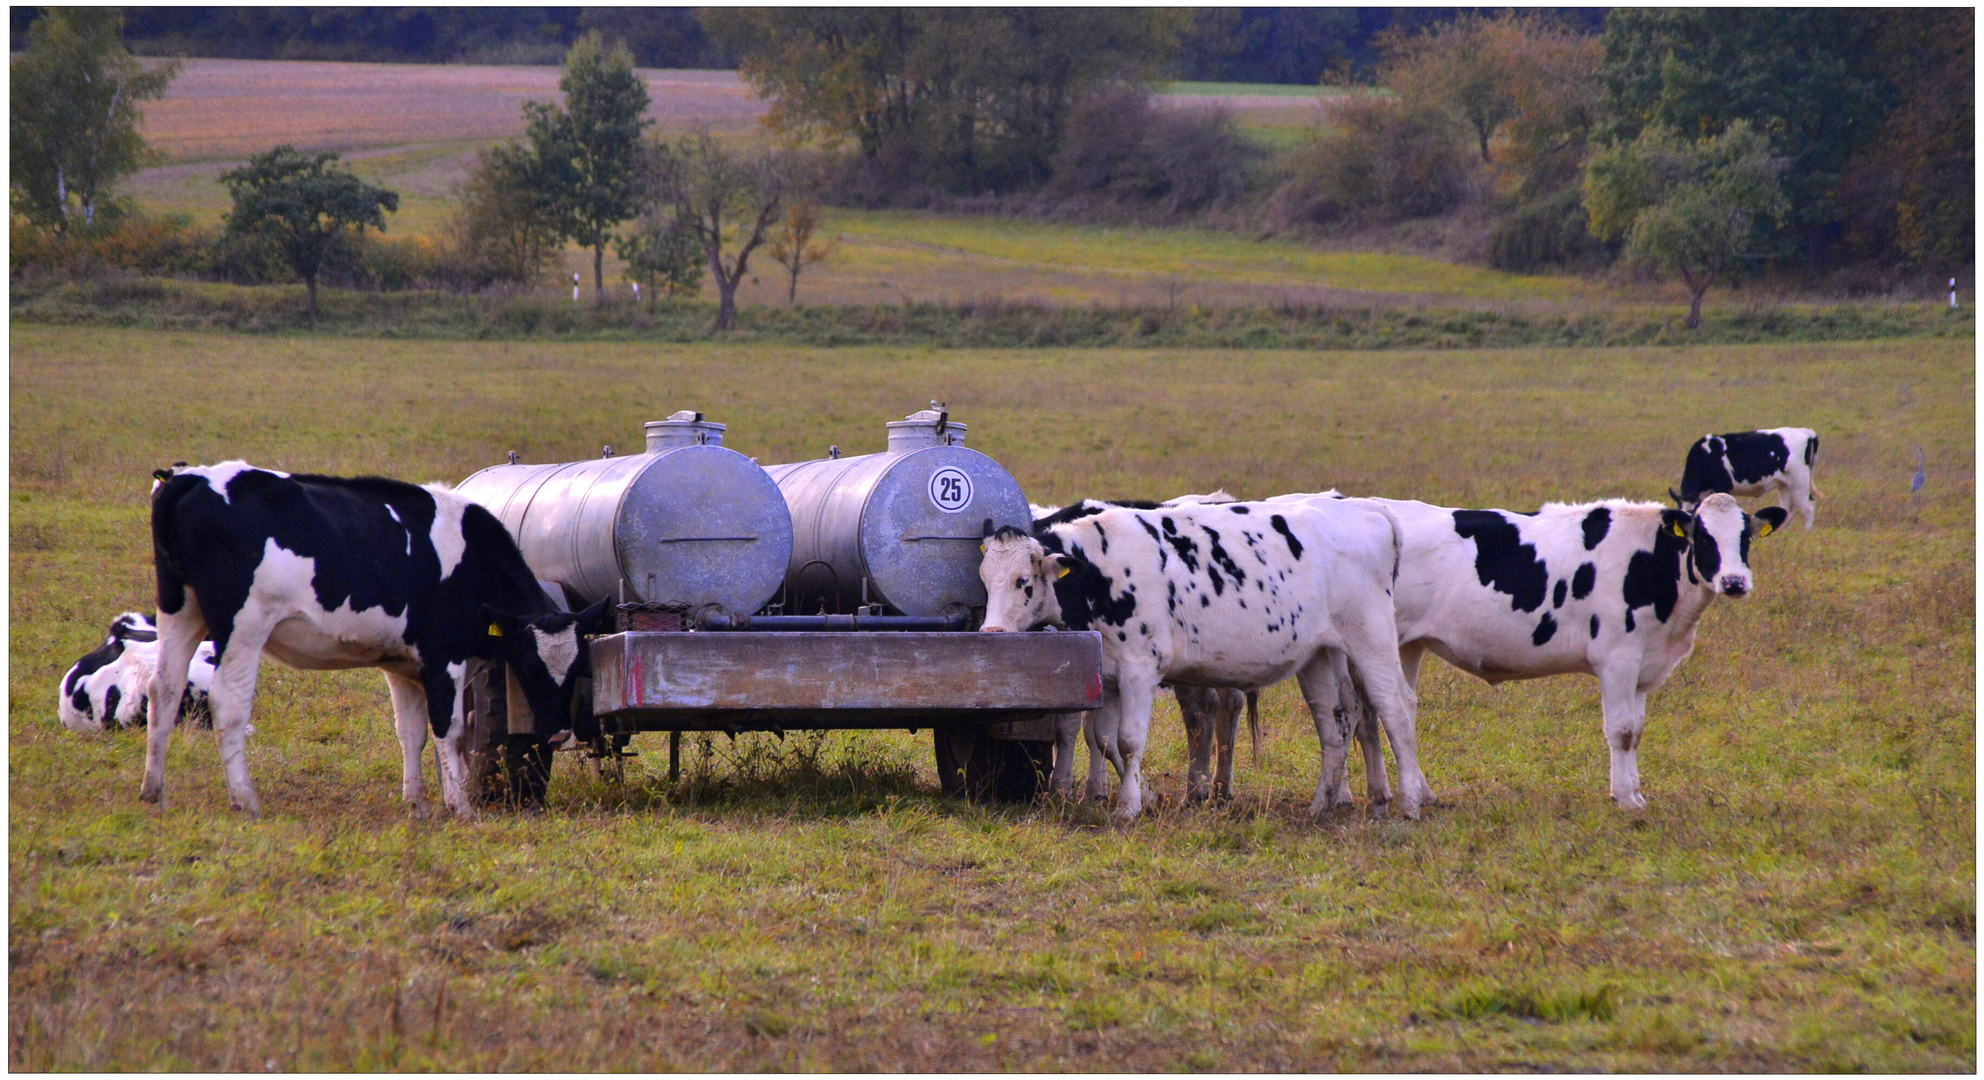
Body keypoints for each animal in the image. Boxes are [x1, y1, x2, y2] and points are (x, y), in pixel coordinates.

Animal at [976, 498, 1428, 817]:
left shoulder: (1141, 670)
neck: (1101, 569)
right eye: (983, 578)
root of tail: (1369, 510)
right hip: (1319, 654)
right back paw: (1323, 804)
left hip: (1370, 637)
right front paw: (1138, 795)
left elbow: (1128, 740)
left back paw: (1409, 804)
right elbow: (1103, 738)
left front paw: (1128, 807)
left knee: (1395, 707)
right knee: (1334, 720)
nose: (992, 632)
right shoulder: (1113, 674)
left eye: (1023, 581)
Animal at [1269, 488, 1801, 810]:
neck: (1648, 563)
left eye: (1747, 537)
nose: (1734, 582)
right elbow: (1620, 731)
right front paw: (1625, 798)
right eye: (1703, 538)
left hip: (1402, 646)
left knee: (1374, 714)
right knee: (1372, 712)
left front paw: (1634, 792)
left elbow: (1637, 731)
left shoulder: (1644, 666)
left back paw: (1404, 792)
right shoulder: (1617, 659)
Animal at [1666, 426, 1817, 528]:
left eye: (1691, 514)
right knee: (1788, 509)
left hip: (1800, 481)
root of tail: (1805, 432)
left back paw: (1807, 532)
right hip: (1784, 485)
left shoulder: (1723, 486)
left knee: (1808, 507)